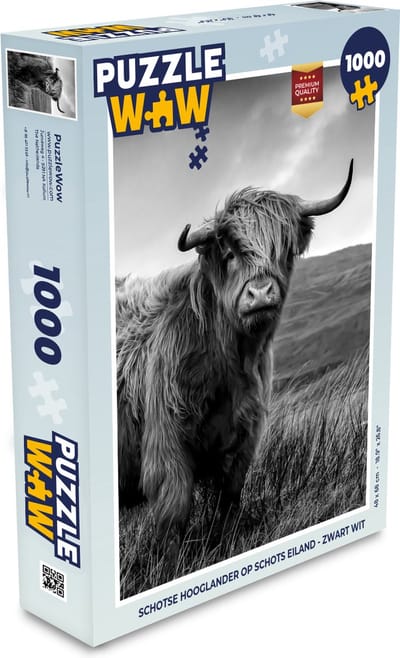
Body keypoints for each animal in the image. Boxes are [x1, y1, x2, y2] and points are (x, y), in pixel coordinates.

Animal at [117, 160, 354, 545]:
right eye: (229, 253)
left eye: (283, 248)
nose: (260, 294)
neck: (231, 363)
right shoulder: (167, 446)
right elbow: (174, 513)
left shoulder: (243, 438)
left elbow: (230, 499)